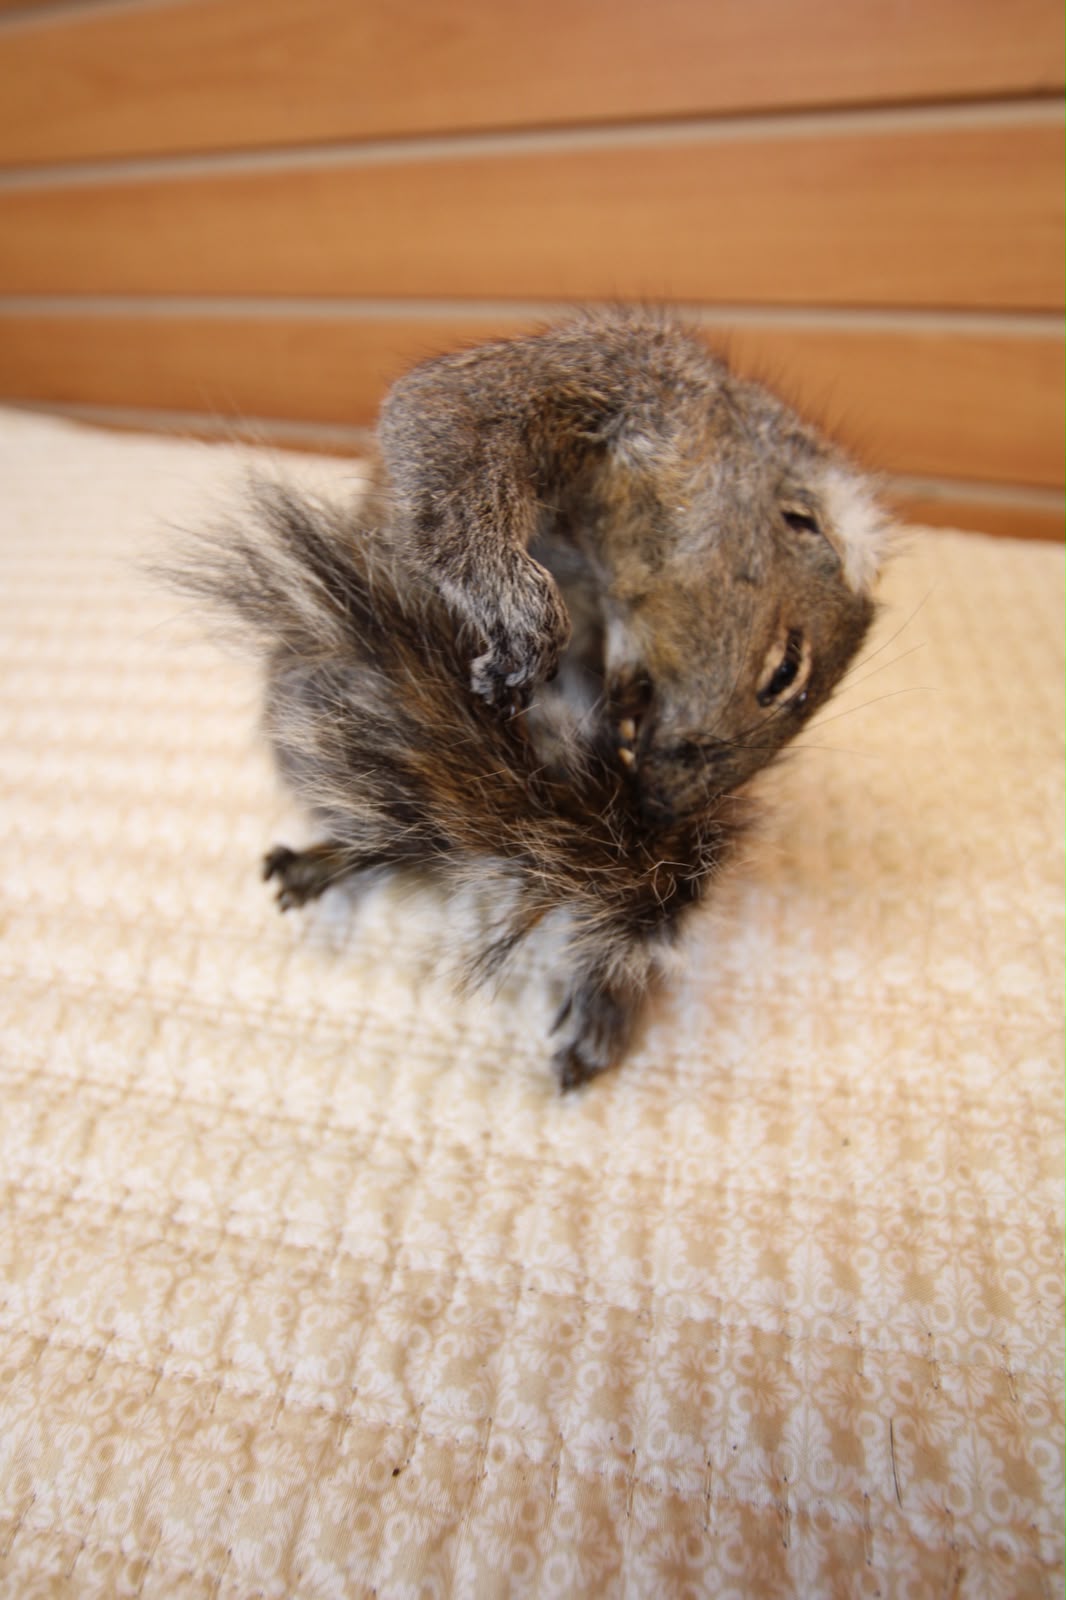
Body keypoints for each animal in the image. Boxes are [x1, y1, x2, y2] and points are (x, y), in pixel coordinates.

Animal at [172, 308, 888, 1088]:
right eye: (784, 671)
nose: (661, 805)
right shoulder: (614, 382)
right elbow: (447, 430)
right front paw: (522, 618)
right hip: (312, 708)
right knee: (414, 836)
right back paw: (336, 856)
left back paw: (604, 1000)